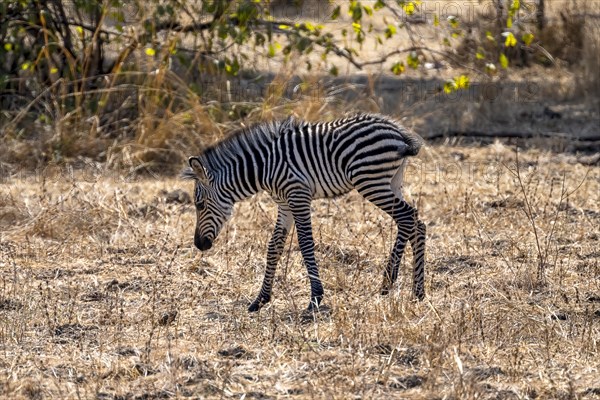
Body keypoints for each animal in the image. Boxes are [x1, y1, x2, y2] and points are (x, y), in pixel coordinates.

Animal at [183, 112, 426, 312]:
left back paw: (392, 283)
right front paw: (260, 299)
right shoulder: (284, 204)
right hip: (391, 182)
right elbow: (274, 246)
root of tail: (397, 131)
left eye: (200, 205)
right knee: (415, 223)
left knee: (408, 218)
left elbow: (306, 243)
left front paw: (315, 298)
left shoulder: (298, 195)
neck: (263, 167)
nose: (199, 244)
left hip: (370, 181)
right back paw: (415, 291)